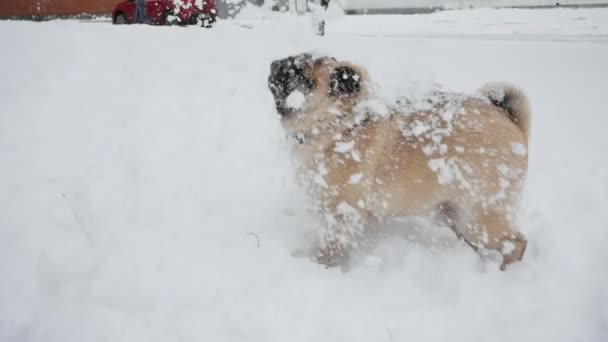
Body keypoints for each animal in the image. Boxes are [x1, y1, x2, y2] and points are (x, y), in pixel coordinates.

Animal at [268, 52, 528, 270]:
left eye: (300, 76)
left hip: (479, 218)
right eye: (292, 60)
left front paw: (320, 266)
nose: (276, 65)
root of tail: (513, 123)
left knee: (516, 243)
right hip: (455, 215)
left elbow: (330, 246)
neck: (340, 126)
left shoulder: (340, 215)